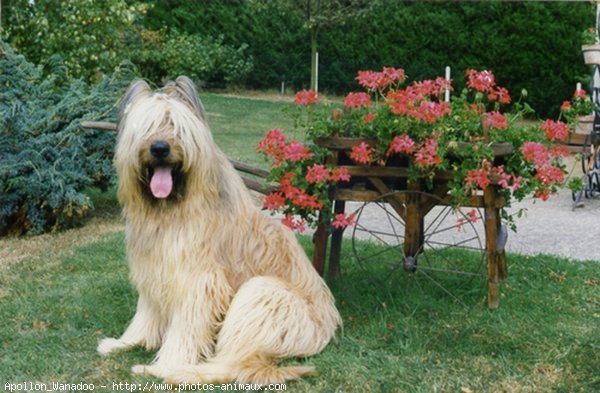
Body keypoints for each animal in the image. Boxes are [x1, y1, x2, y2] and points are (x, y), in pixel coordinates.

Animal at [98, 76, 342, 382]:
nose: (160, 149)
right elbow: (145, 314)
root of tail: (327, 329)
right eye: (147, 127)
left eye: (176, 126)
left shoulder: (198, 281)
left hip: (264, 295)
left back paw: (171, 371)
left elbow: (185, 330)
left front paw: (167, 362)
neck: (172, 208)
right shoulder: (153, 270)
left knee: (231, 363)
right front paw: (124, 342)